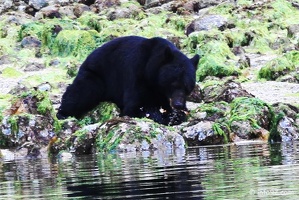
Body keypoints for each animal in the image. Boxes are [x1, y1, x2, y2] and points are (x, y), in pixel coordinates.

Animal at [57, 35, 200, 124]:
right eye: (173, 83)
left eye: (188, 87)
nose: (178, 104)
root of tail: (87, 58)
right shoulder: (137, 73)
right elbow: (133, 107)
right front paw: (158, 115)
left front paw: (176, 115)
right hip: (95, 75)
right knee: (82, 92)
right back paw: (63, 113)